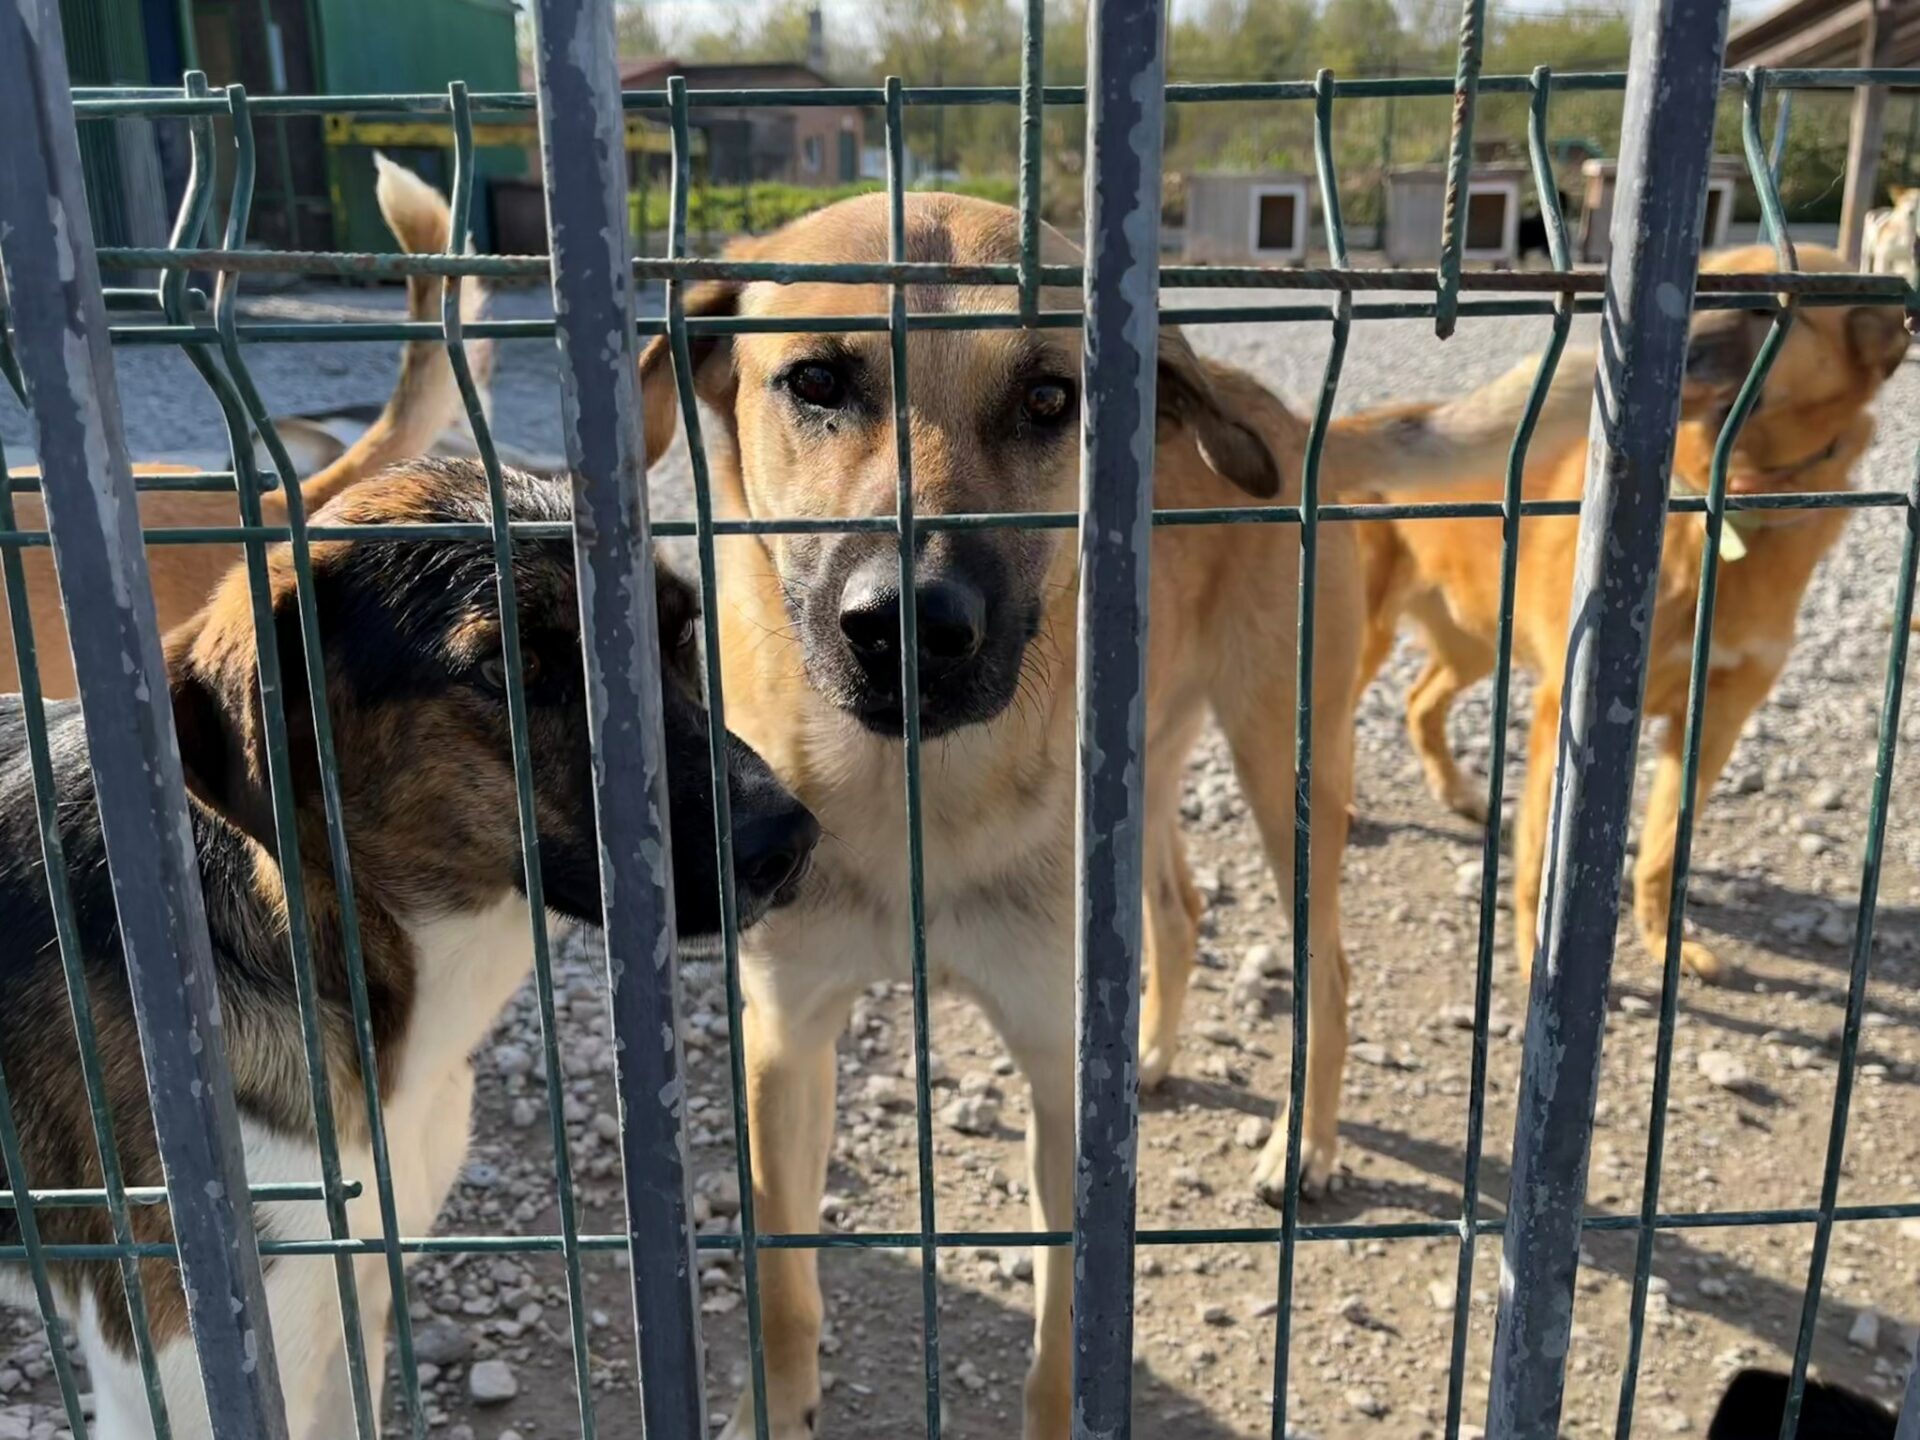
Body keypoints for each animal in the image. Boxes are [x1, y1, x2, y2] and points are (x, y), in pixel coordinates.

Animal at [1351, 245, 1904, 990]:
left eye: (1769, 306)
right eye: (1703, 289)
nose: (1680, 352)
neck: (1726, 507)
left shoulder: (1715, 720)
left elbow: (1665, 848)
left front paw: (1666, 941)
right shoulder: (1566, 712)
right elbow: (1543, 858)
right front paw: (1530, 958)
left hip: (1472, 641)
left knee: (1419, 701)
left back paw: (1459, 792)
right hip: (1358, 637)